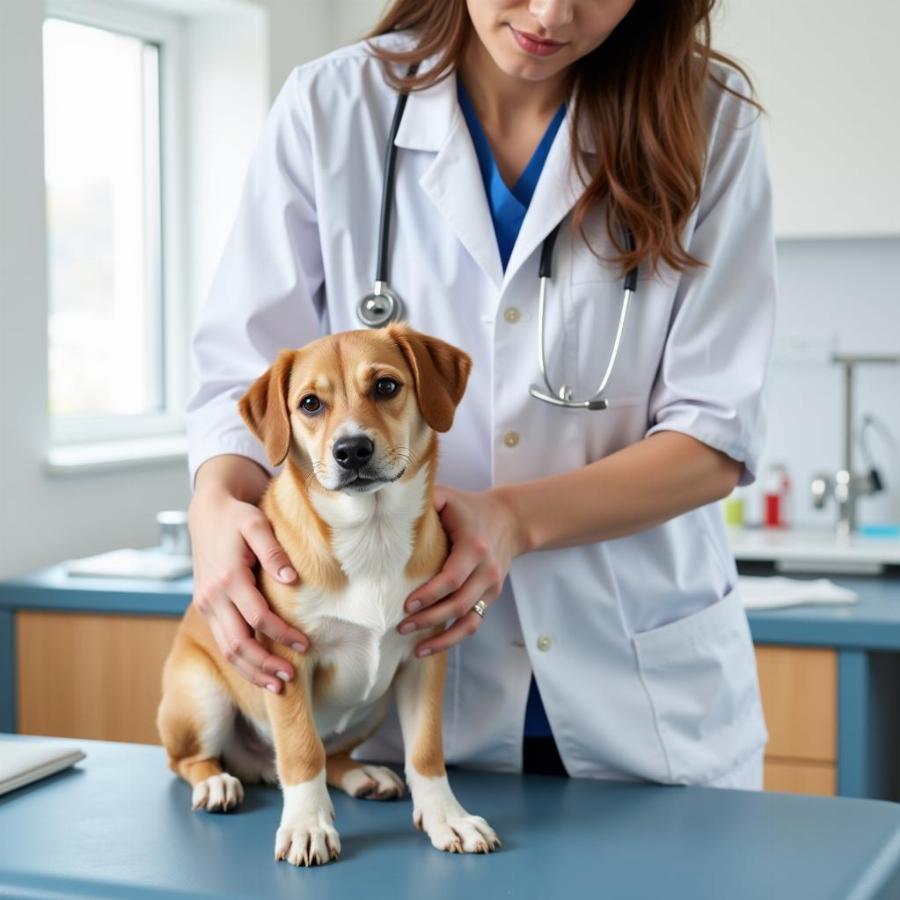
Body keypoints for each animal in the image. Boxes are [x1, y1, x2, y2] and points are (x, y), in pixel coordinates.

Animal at [158, 326, 502, 864]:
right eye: (310, 403)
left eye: (385, 386)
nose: (351, 450)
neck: (372, 535)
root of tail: (255, 764)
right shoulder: (285, 662)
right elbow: (302, 751)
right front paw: (306, 826)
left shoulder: (424, 658)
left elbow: (426, 750)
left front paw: (448, 817)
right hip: (201, 696)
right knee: (190, 761)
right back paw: (216, 783)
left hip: (373, 707)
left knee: (335, 753)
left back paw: (364, 775)